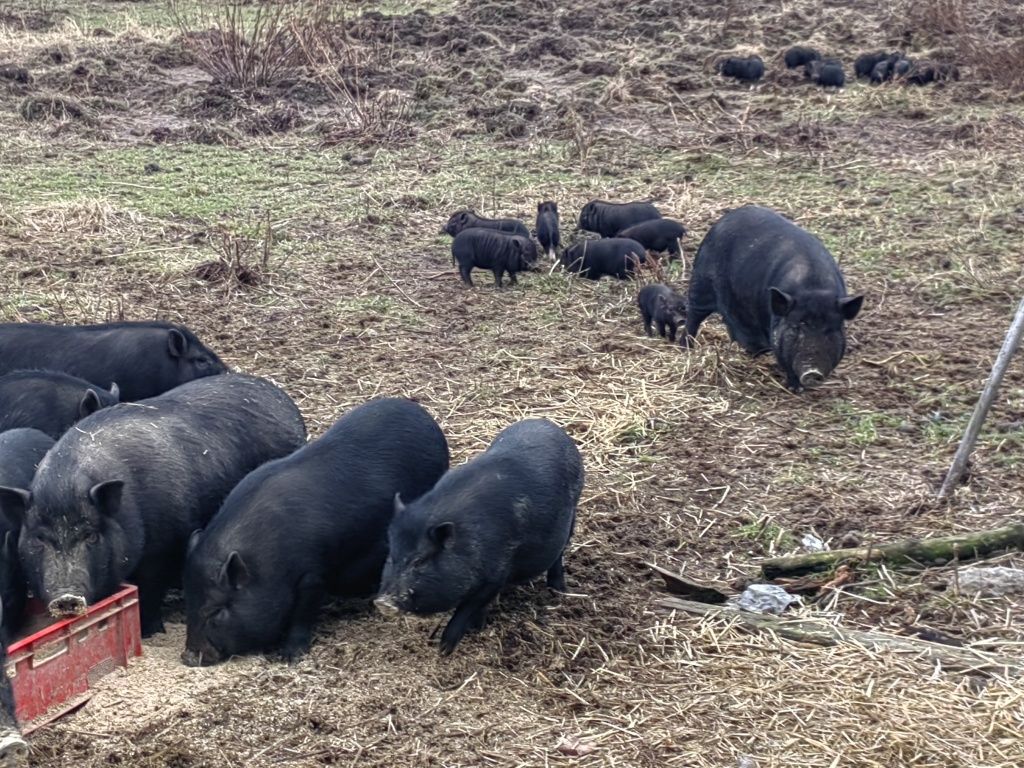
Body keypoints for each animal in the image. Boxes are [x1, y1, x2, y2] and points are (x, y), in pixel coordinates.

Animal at [0, 374, 303, 638]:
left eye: (91, 535)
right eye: (39, 538)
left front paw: (150, 632)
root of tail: (283, 400)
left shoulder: (164, 548)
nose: (65, 597)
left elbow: (150, 590)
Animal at [184, 397, 448, 667]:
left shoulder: (313, 574)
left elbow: (303, 614)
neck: (266, 563)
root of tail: (423, 415)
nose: (188, 657)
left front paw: (289, 657)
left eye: (216, 610)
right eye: (188, 606)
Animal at [376, 417, 585, 659]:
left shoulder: (497, 572)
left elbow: (467, 607)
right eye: (392, 557)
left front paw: (445, 649)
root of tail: (548, 424)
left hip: (571, 516)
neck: (467, 541)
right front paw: (477, 628)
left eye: (420, 560)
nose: (383, 602)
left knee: (559, 556)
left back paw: (559, 591)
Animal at [679, 205, 864, 391]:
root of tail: (721, 221)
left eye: (830, 330)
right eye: (796, 327)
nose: (812, 372)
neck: (814, 287)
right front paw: (795, 389)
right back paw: (685, 347)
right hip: (701, 284)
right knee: (694, 316)